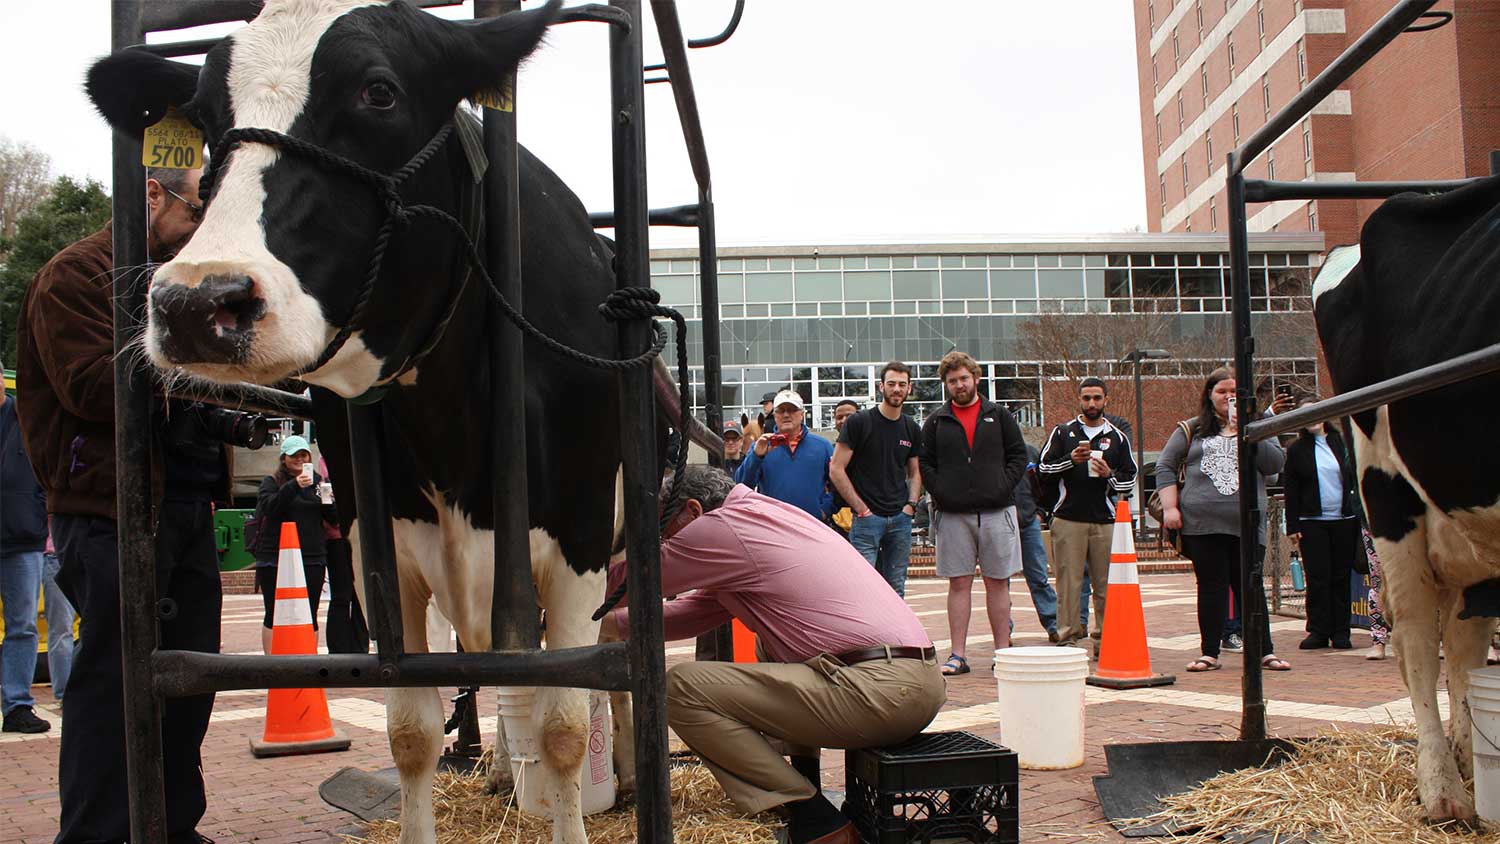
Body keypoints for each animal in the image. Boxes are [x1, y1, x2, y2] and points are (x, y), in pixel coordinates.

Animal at [82, 1, 645, 844]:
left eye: (378, 92)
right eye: (208, 118)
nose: (194, 301)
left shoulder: (577, 543)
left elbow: (565, 727)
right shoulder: (379, 543)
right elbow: (410, 729)